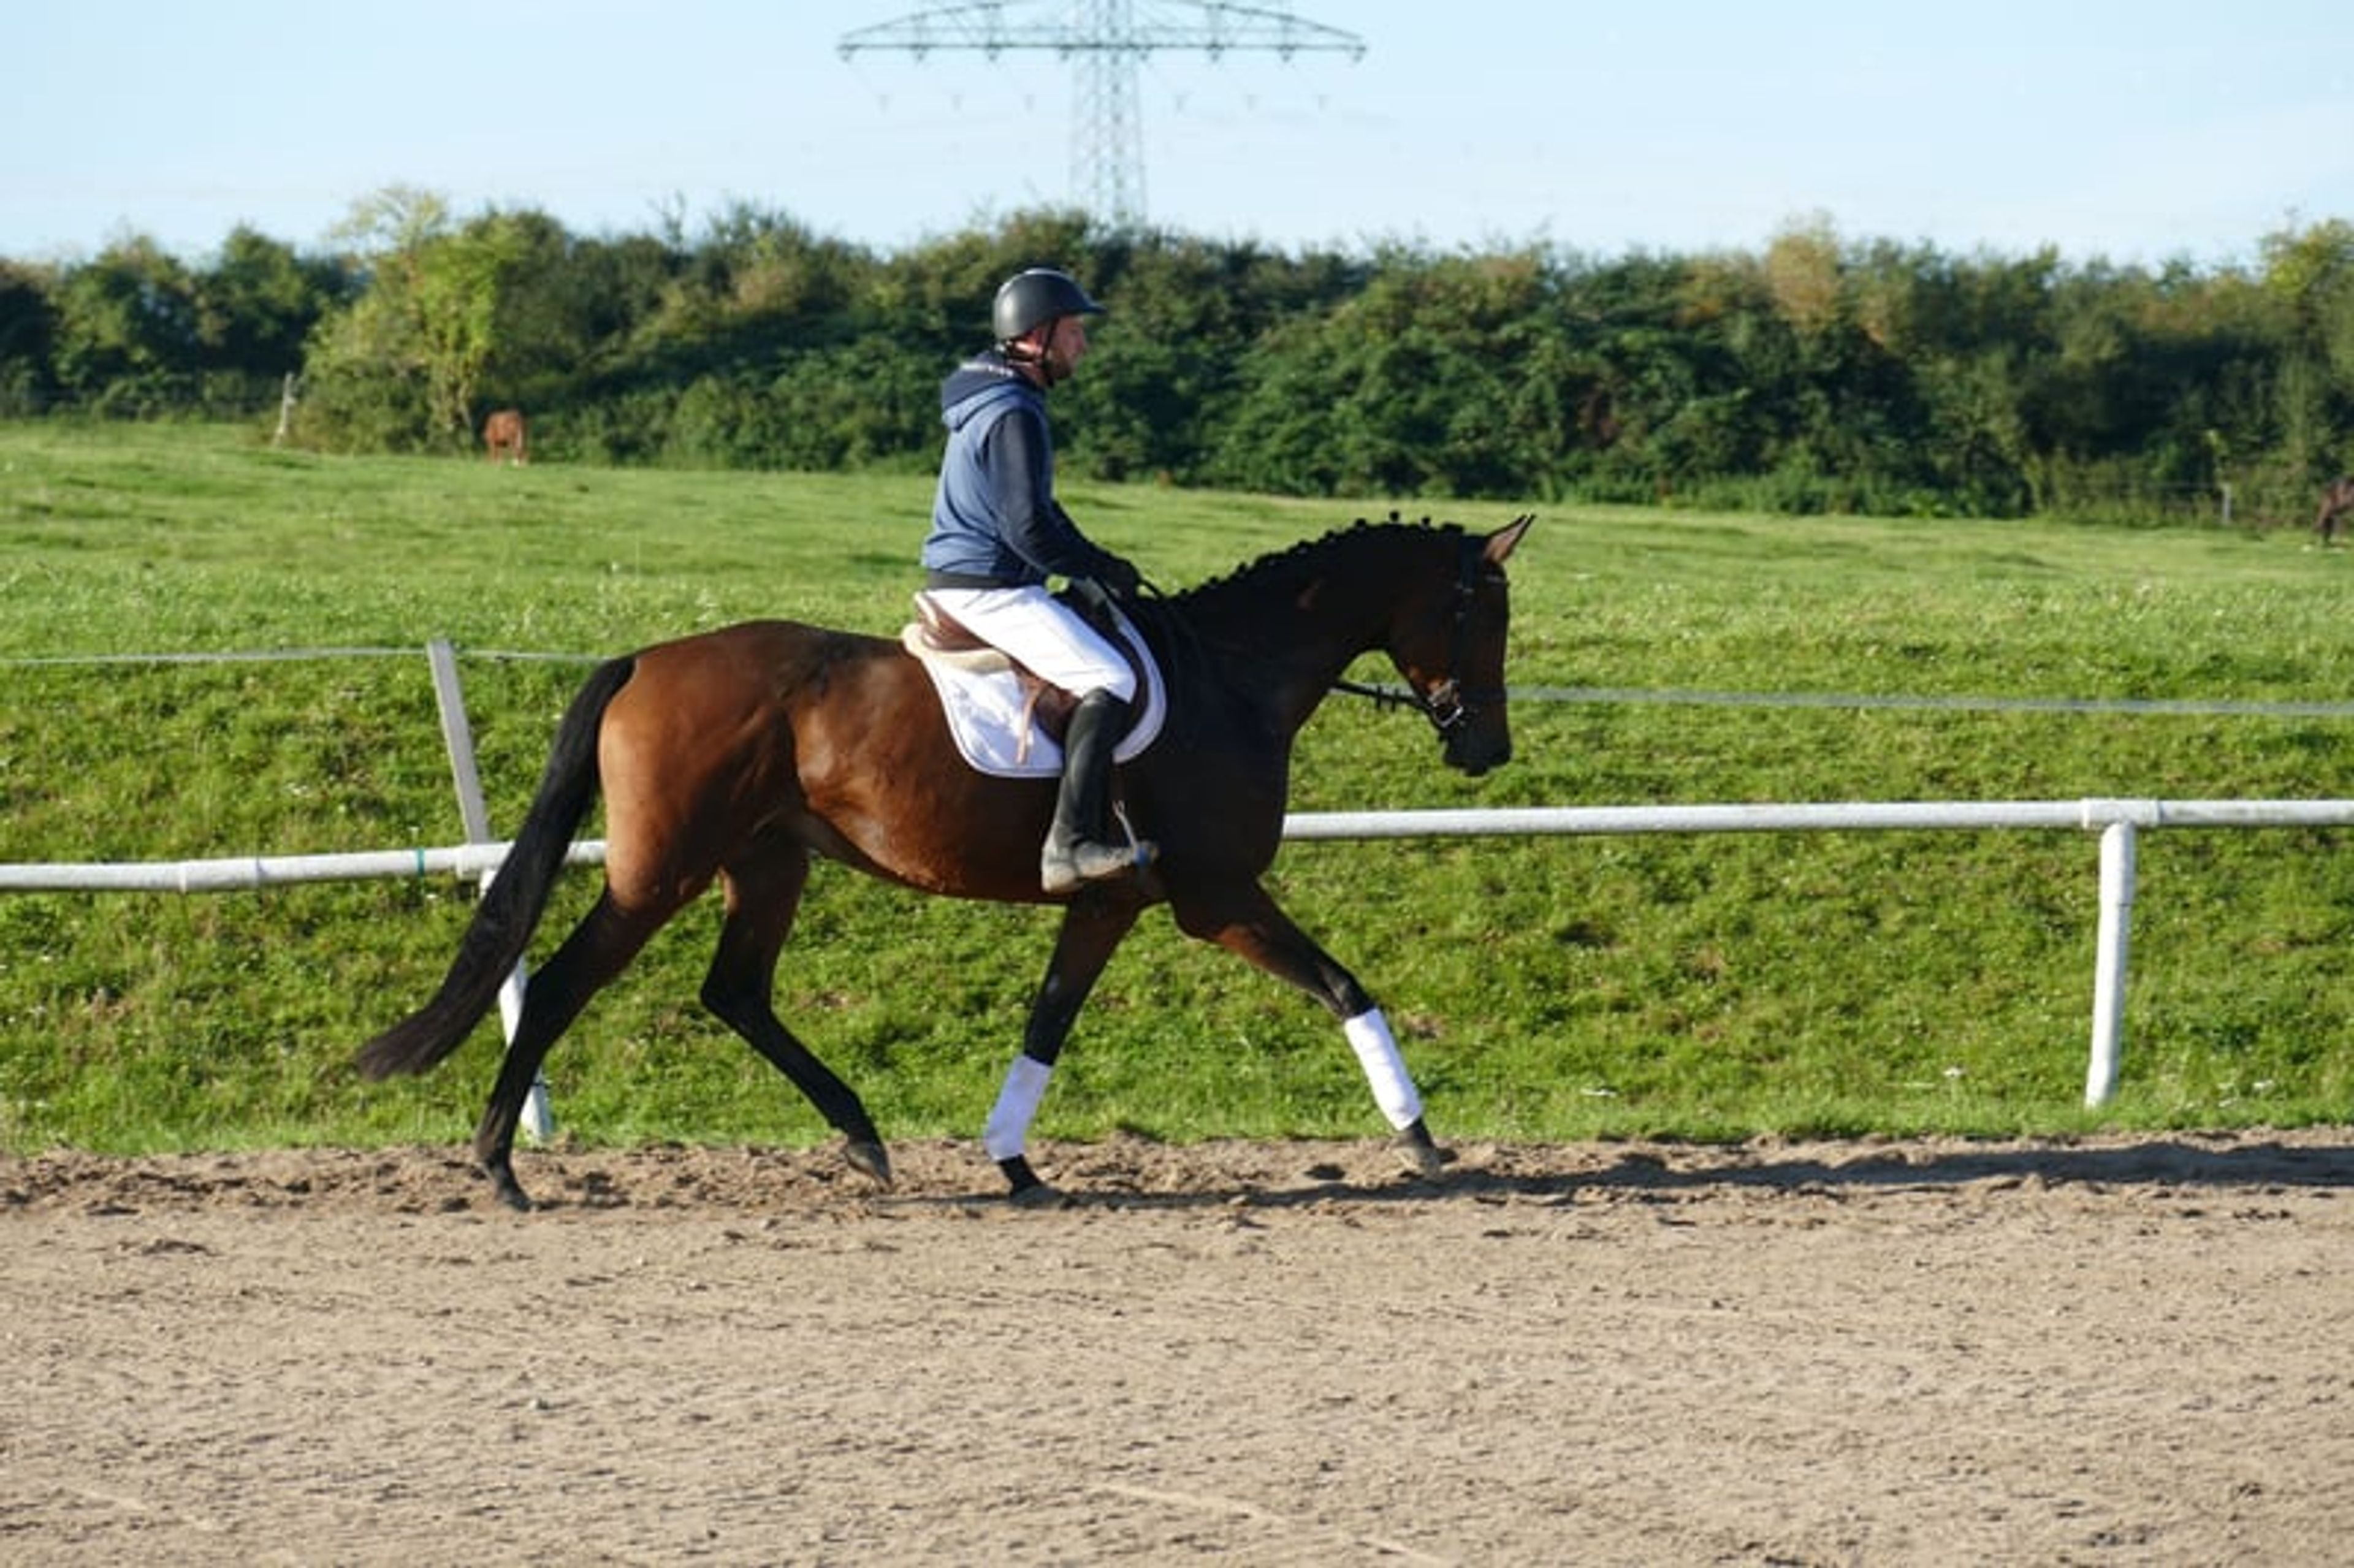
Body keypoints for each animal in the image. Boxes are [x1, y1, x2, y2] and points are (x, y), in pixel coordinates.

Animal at [356, 514, 1534, 1208]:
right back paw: (498, 1164)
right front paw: (1421, 1137)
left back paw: (864, 1138)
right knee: (562, 983)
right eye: (1482, 609)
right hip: (661, 872)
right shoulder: (1217, 895)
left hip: (768, 862)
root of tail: (648, 658)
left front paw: (1014, 1158)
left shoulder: (1111, 903)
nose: (1487, 745)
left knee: (736, 992)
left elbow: (1047, 1022)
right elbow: (1343, 985)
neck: (1230, 678)